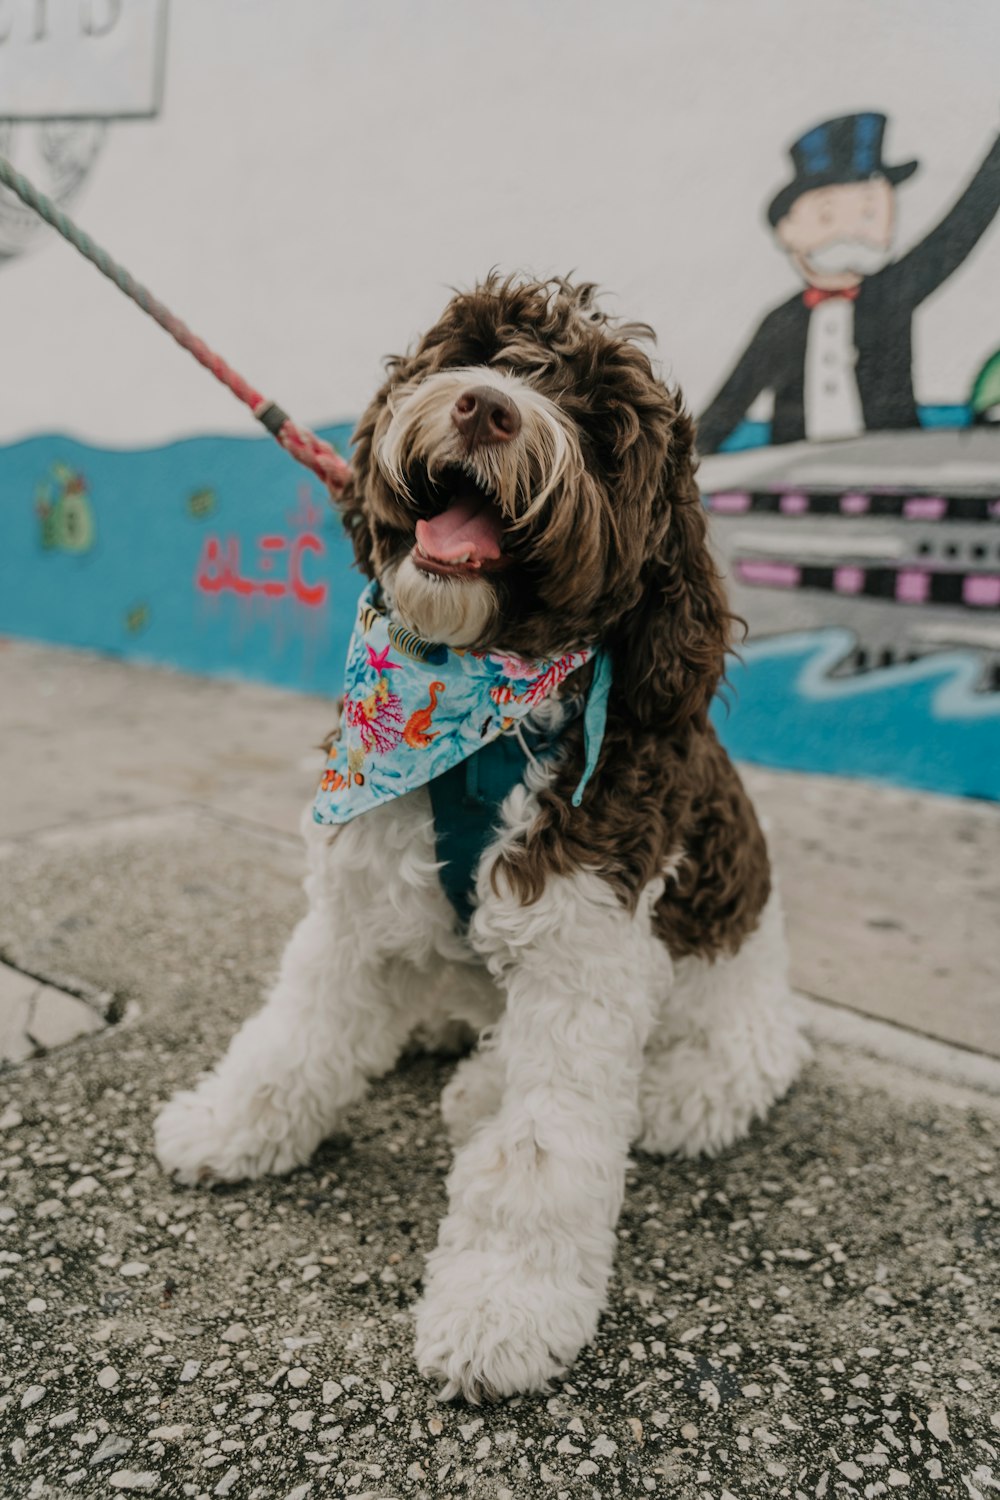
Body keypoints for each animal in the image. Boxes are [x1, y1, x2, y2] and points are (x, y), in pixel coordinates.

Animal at [158, 276, 815, 1398]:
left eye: (601, 426)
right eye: (478, 353)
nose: (486, 408)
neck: (475, 723)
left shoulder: (585, 961)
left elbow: (540, 1156)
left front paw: (503, 1310)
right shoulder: (354, 899)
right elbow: (292, 1038)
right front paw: (230, 1127)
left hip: (730, 1030)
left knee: (696, 1083)